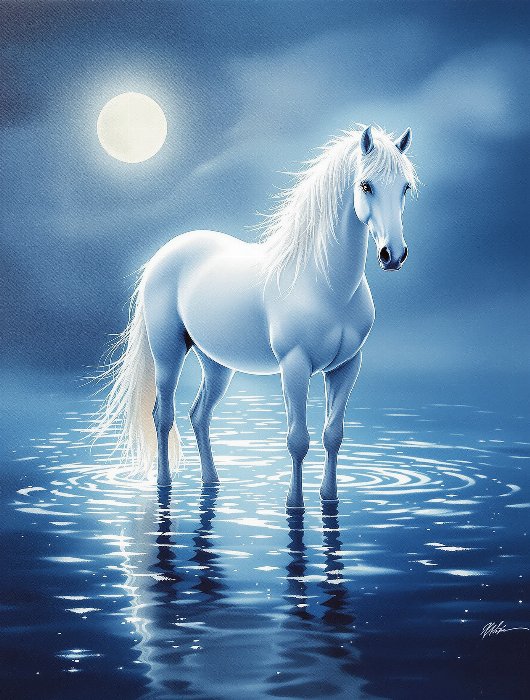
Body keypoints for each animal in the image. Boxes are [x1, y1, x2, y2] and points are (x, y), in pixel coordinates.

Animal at [94, 124, 418, 508]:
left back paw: (212, 482)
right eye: (366, 185)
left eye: (405, 187)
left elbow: (333, 435)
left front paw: (330, 499)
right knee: (163, 416)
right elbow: (298, 439)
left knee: (199, 415)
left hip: (217, 364)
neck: (324, 284)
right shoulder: (295, 366)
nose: (393, 254)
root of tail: (166, 252)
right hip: (168, 353)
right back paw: (164, 484)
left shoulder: (347, 366)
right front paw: (294, 505)